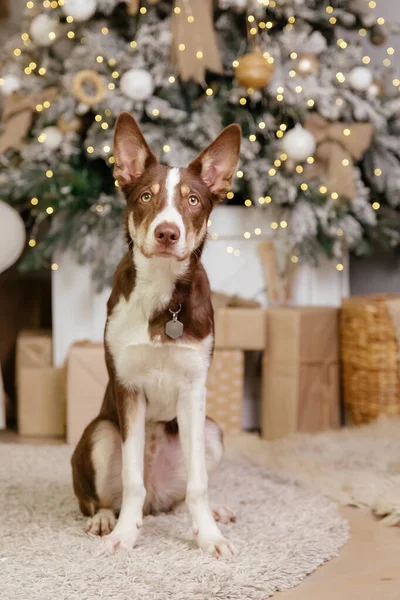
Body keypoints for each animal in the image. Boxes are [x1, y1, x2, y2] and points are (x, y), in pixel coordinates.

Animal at [70, 111, 241, 556]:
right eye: (146, 196)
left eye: (193, 200)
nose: (167, 233)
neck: (164, 295)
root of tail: (158, 502)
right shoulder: (128, 388)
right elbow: (133, 480)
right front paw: (124, 535)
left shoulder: (194, 389)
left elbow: (199, 484)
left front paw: (209, 537)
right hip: (99, 434)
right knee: (99, 496)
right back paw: (105, 518)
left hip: (212, 431)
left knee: (181, 496)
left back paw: (209, 512)